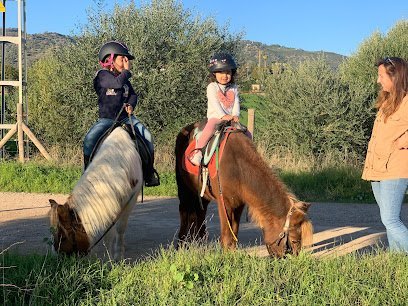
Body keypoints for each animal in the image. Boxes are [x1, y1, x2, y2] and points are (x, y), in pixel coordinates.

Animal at [175, 122, 312, 258]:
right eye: (294, 240)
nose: (292, 257)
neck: (239, 168)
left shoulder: (239, 204)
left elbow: (234, 232)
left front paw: (232, 254)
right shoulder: (224, 203)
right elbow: (227, 234)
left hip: (203, 195)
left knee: (199, 213)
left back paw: (199, 243)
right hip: (184, 190)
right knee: (184, 212)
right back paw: (181, 244)